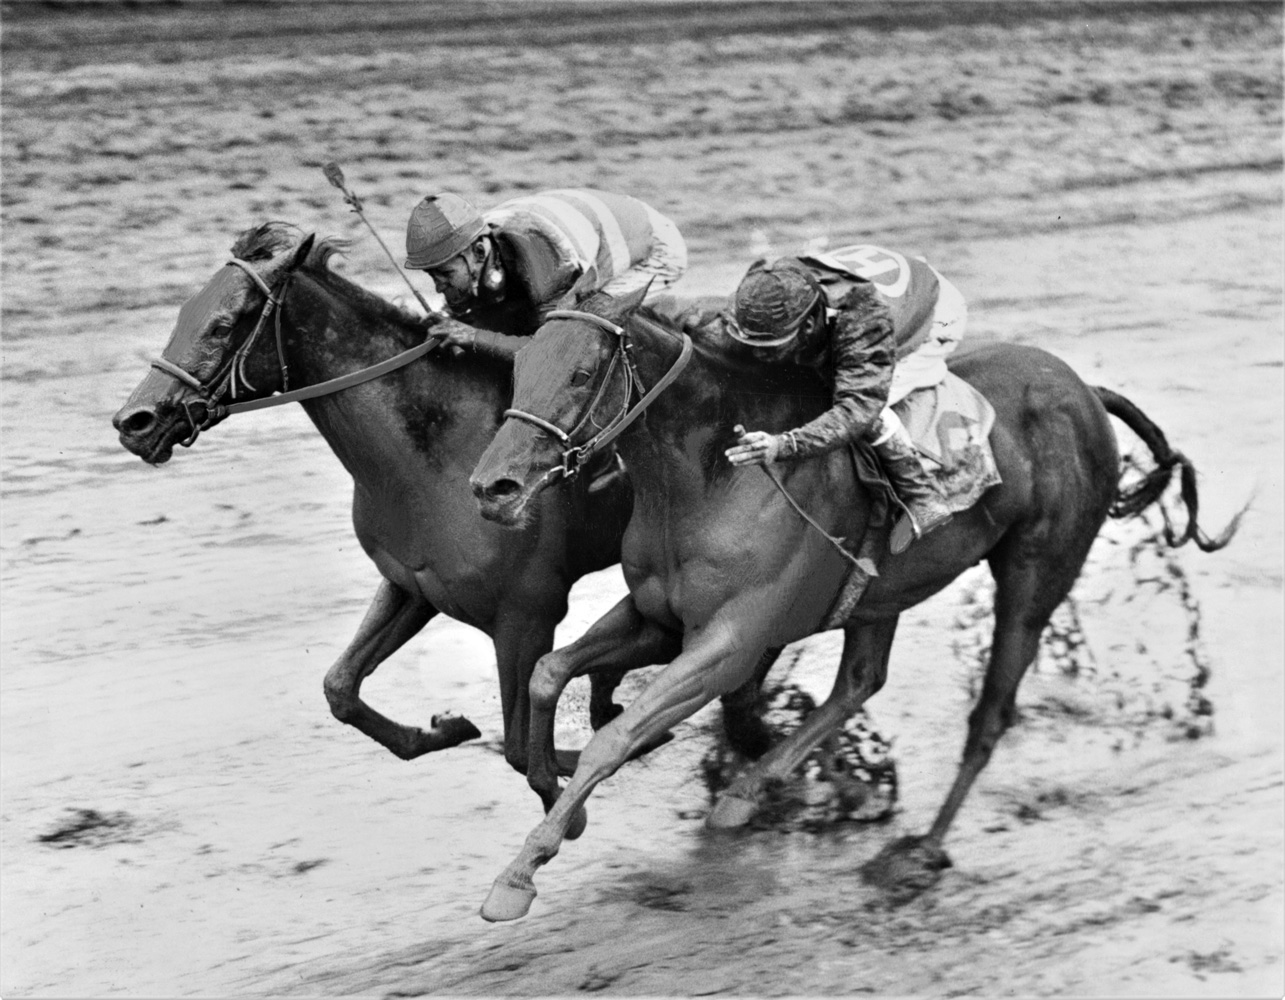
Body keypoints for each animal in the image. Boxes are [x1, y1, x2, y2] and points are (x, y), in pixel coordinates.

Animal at [470, 284, 1233, 915]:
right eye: (520, 363)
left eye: (578, 373)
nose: (492, 487)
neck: (709, 475)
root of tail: (1086, 391)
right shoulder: (660, 617)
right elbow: (549, 672)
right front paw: (556, 796)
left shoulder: (729, 642)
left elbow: (613, 737)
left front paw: (519, 874)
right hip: (885, 591)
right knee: (861, 680)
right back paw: (751, 793)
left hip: (1036, 577)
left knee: (988, 716)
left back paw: (920, 850)